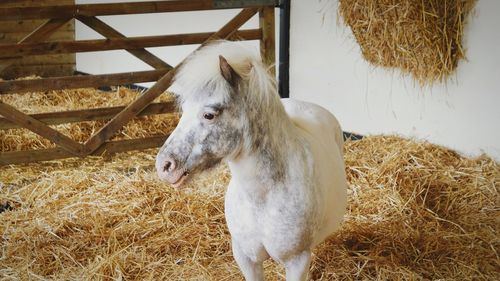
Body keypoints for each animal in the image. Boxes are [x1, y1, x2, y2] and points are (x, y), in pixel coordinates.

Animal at [156, 40, 348, 280]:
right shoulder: (246, 258)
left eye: (209, 114)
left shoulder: (297, 261)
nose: (164, 165)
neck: (262, 199)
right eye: (183, 110)